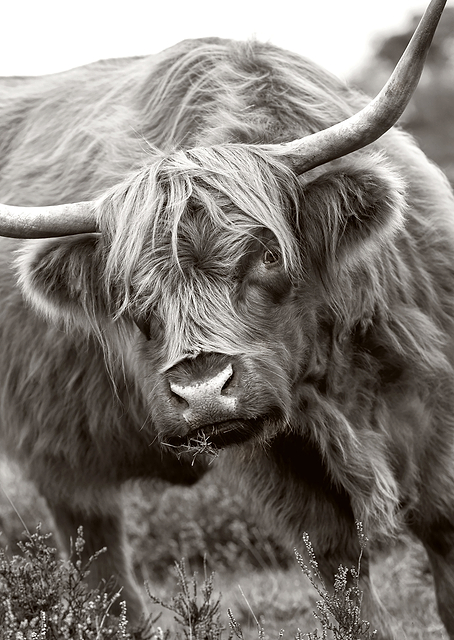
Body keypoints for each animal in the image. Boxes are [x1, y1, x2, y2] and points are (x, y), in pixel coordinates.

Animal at [0, 0, 452, 637]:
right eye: (130, 292)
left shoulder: (435, 414)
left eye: (266, 256)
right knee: (102, 570)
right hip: (59, 459)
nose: (202, 391)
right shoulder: (286, 469)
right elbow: (343, 583)